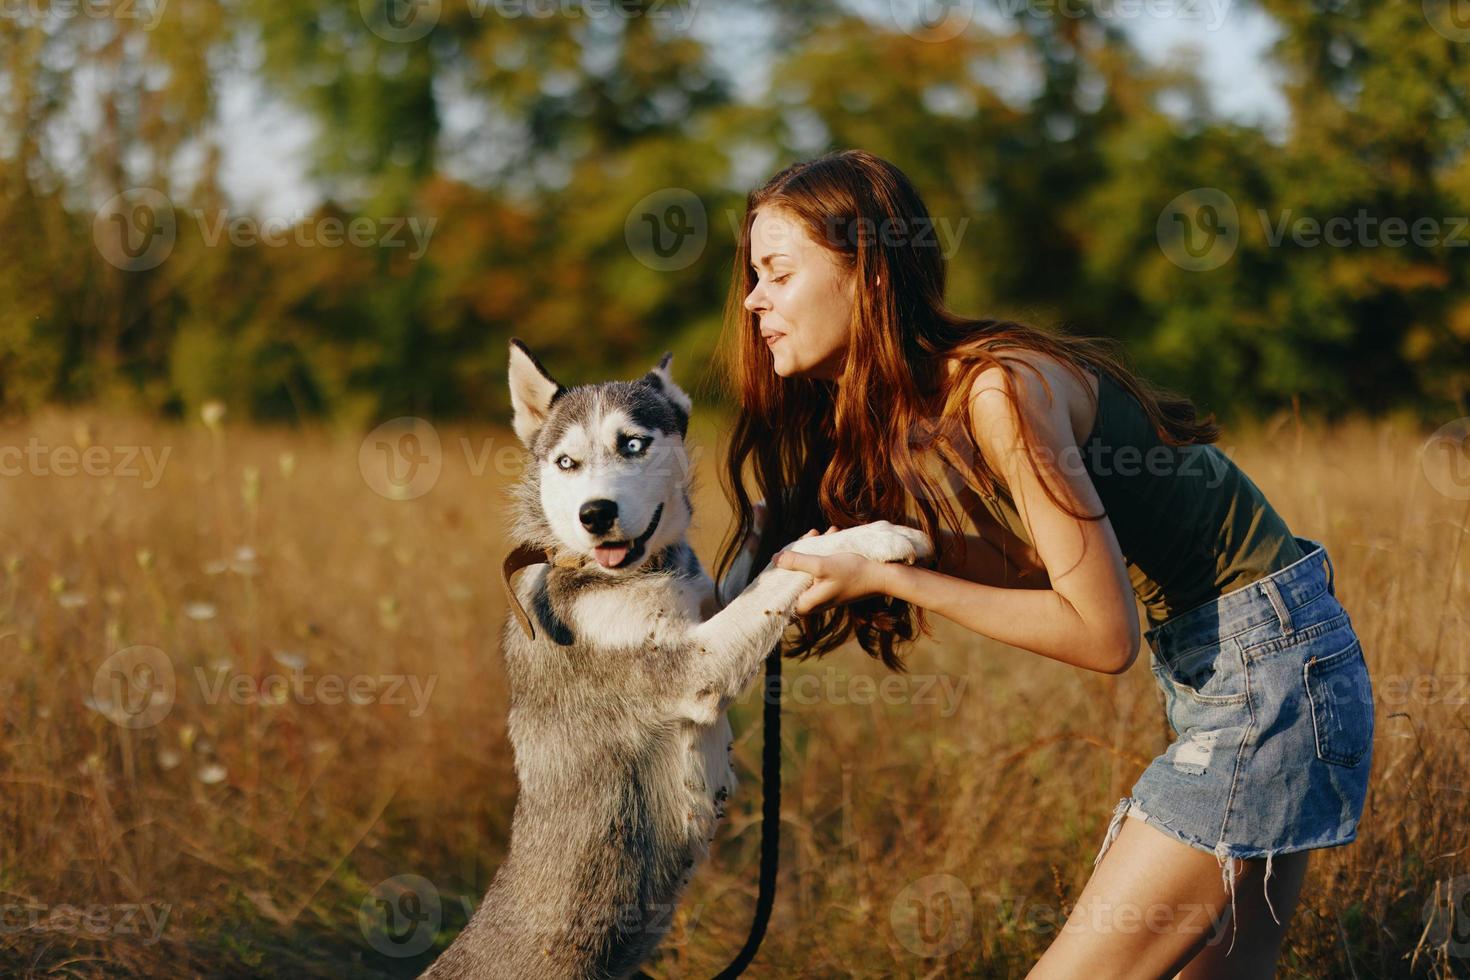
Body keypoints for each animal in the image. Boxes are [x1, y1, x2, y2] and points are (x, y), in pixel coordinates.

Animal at [423, 339, 929, 980]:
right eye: (566, 463)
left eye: (633, 444)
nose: (595, 514)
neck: (637, 572)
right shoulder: (694, 669)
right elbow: (782, 568)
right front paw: (872, 537)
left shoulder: (709, 610)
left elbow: (758, 565)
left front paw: (780, 509)